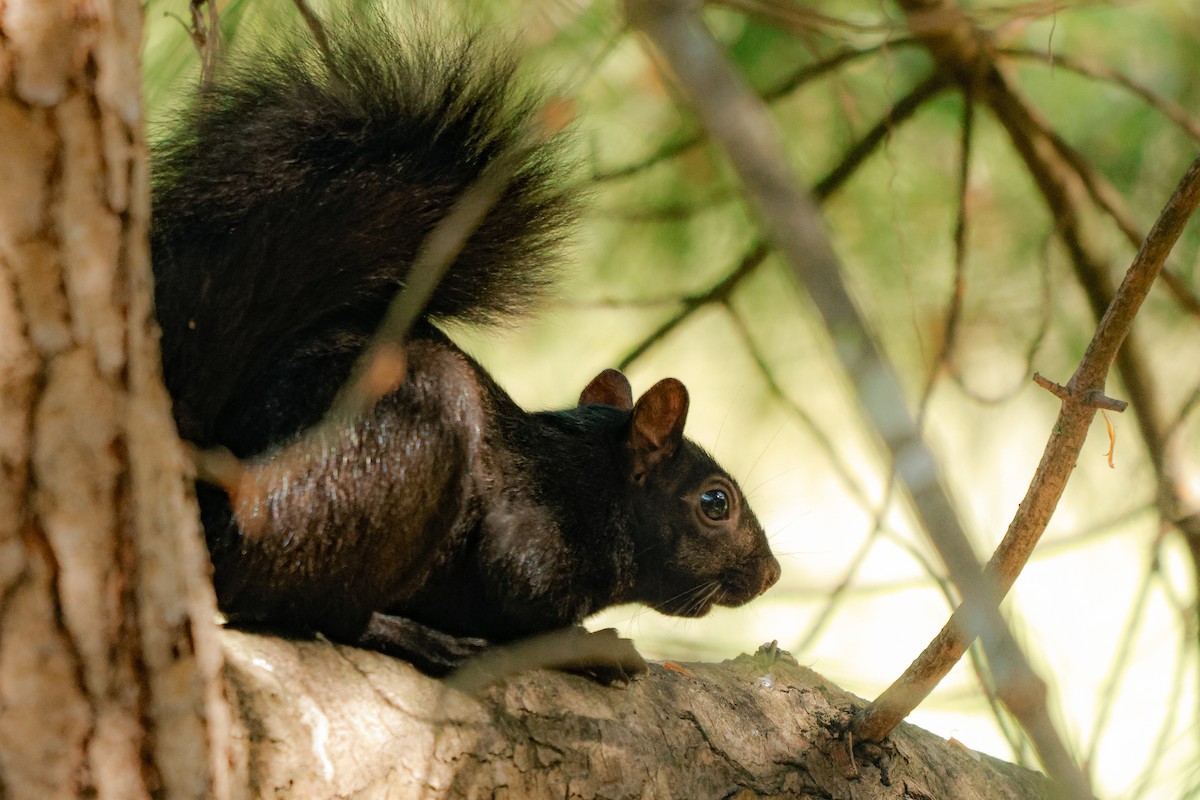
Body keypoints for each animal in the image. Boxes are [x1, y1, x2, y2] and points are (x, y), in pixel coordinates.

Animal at [150, 15, 781, 676]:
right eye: (716, 502)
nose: (771, 574)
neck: (590, 484)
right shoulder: (528, 543)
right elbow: (524, 603)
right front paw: (591, 645)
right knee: (280, 596)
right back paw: (409, 635)